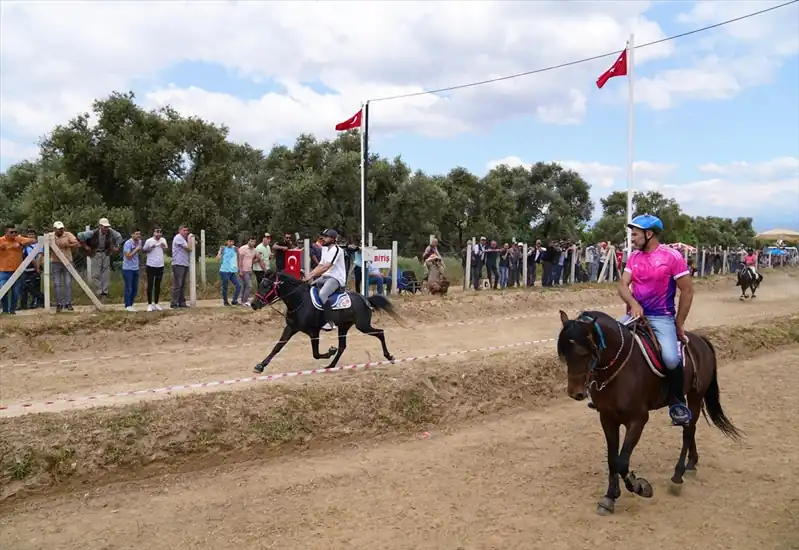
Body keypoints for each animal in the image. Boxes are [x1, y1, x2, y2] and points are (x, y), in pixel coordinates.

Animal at [250, 272, 400, 376]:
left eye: (266, 286)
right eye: (261, 284)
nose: (253, 304)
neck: (300, 301)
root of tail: (365, 299)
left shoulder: (313, 331)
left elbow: (315, 353)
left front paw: (329, 352)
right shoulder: (291, 328)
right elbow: (277, 347)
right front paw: (260, 366)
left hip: (362, 326)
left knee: (380, 332)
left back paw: (389, 356)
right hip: (344, 327)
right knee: (342, 347)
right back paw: (331, 366)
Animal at [560, 310, 740, 516]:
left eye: (583, 352)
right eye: (564, 354)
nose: (575, 393)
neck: (621, 368)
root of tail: (699, 340)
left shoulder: (637, 420)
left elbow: (622, 462)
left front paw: (640, 487)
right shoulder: (607, 418)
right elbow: (613, 460)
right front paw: (610, 497)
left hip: (696, 395)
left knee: (688, 431)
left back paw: (677, 476)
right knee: (689, 426)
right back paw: (691, 463)